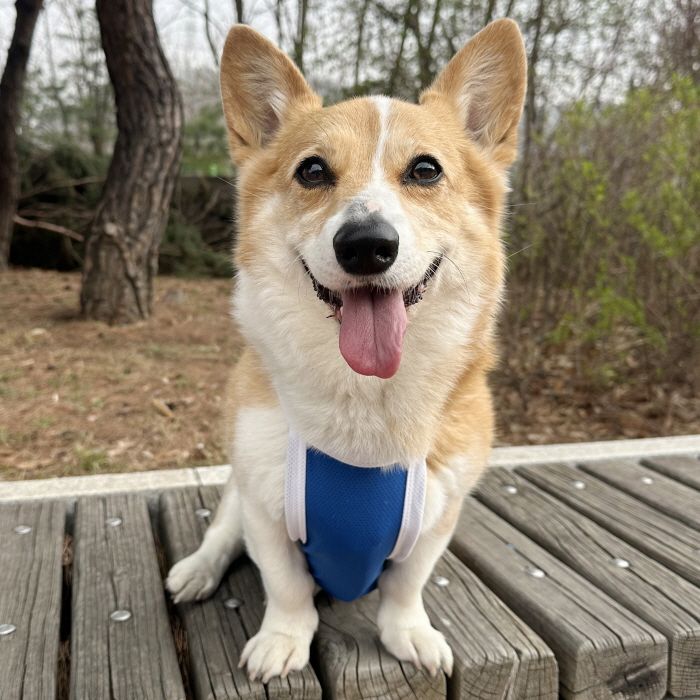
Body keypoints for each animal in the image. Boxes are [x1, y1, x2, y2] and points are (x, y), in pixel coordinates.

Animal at [166, 18, 527, 683]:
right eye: (312, 171)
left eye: (426, 170)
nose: (365, 245)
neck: (366, 398)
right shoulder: (265, 509)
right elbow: (285, 586)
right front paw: (282, 641)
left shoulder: (437, 518)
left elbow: (407, 585)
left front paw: (409, 634)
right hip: (238, 492)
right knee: (223, 533)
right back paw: (196, 571)